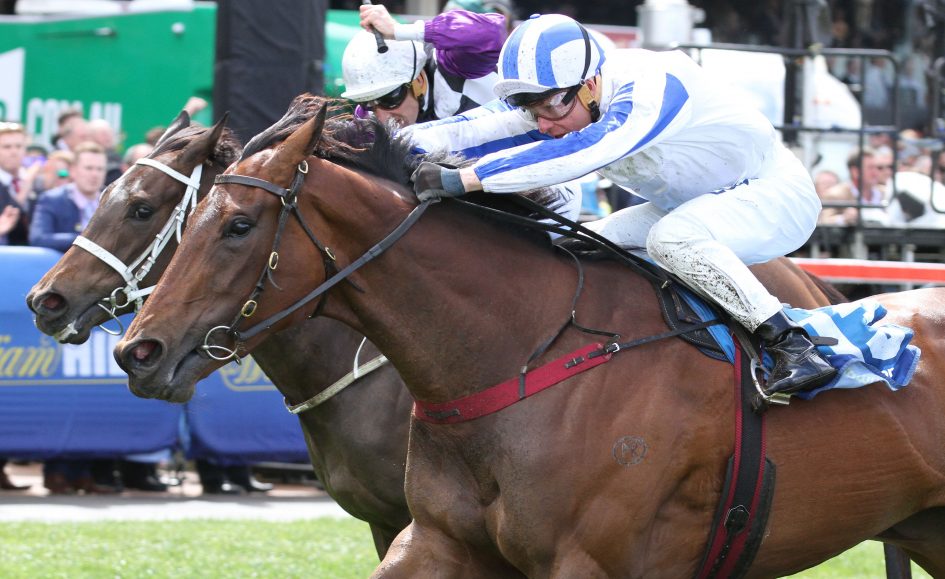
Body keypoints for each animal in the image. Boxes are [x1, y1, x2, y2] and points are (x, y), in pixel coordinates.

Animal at [111, 96, 945, 576]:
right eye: (191, 218)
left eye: (238, 225)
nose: (136, 349)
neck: (514, 356)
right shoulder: (435, 537)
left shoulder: (589, 562)